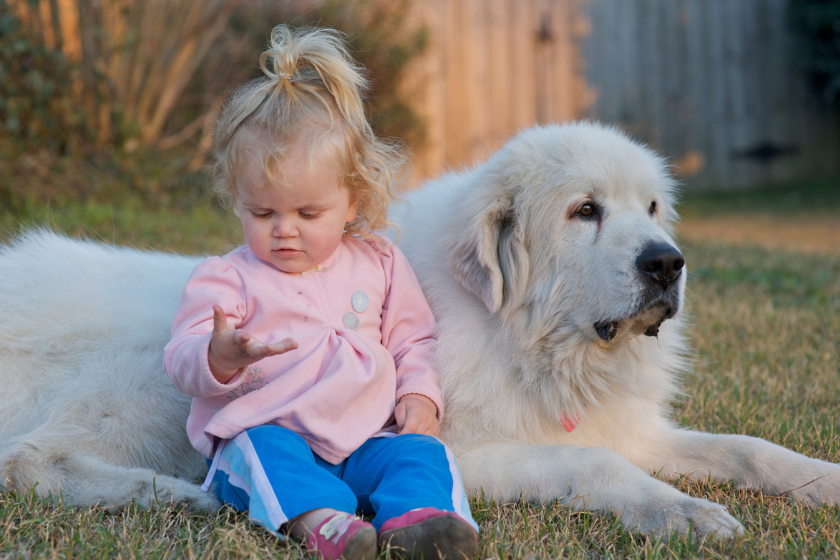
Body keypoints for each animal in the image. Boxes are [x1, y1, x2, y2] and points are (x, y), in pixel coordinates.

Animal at [1, 123, 840, 540]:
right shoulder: (469, 447)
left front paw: (822, 480)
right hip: (161, 363)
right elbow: (593, 462)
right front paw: (680, 512)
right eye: (585, 211)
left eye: (654, 209)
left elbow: (747, 448)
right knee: (29, 460)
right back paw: (168, 496)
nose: (667, 263)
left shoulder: (634, 427)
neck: (531, 341)